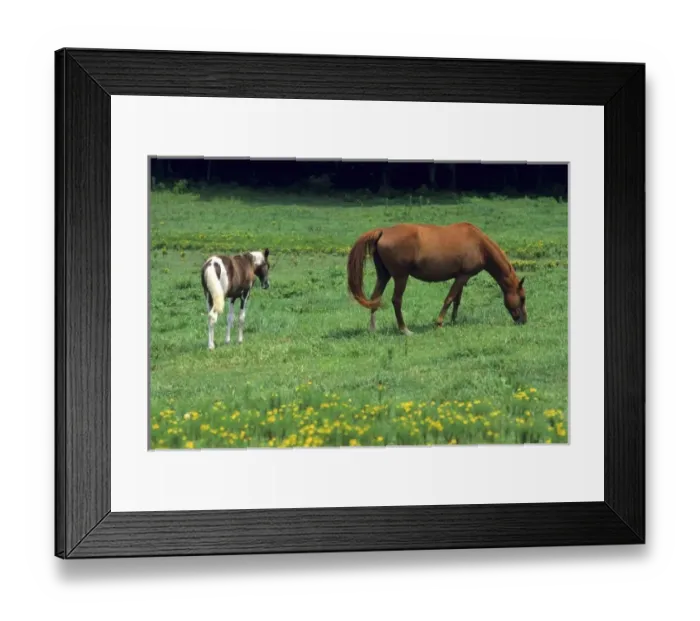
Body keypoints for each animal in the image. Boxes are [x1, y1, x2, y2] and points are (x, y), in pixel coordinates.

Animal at [347, 223, 527, 335]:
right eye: (523, 298)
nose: (523, 320)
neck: (479, 244)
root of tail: (383, 231)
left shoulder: (461, 276)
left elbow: (456, 300)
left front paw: (453, 320)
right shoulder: (463, 276)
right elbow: (450, 298)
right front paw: (439, 323)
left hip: (384, 276)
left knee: (375, 298)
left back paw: (372, 329)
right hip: (400, 277)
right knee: (396, 300)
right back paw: (404, 329)